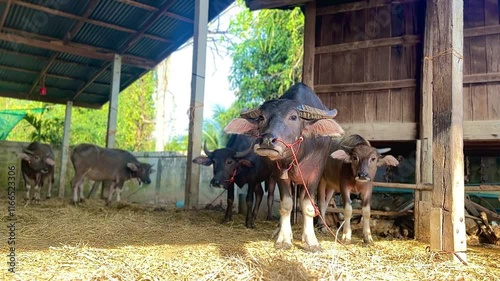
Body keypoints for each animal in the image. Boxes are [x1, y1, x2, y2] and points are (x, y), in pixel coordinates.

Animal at [226, 82, 344, 250]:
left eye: (293, 117)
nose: (267, 141)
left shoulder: (314, 176)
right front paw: (284, 238)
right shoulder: (280, 175)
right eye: (261, 117)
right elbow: (286, 204)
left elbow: (308, 206)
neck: (298, 156)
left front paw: (311, 241)